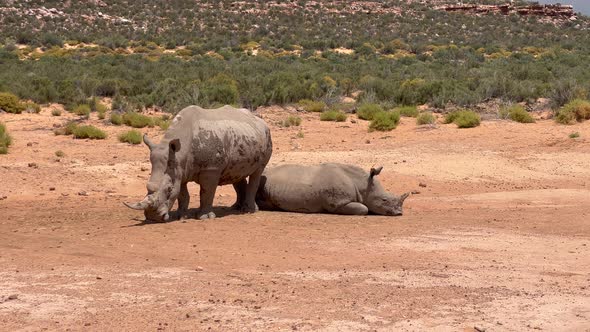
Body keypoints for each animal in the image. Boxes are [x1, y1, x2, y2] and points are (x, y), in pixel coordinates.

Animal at [126, 105, 274, 222]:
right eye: (146, 187)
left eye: (168, 189)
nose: (153, 218)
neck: (180, 154)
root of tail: (261, 121)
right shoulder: (180, 170)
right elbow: (182, 194)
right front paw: (181, 216)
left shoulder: (211, 169)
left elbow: (206, 192)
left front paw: (204, 217)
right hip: (243, 137)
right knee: (236, 172)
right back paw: (236, 208)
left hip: (266, 136)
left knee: (257, 172)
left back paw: (248, 210)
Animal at [256, 163, 410, 215]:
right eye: (384, 200)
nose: (399, 213)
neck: (362, 184)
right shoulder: (339, 203)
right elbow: (363, 209)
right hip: (264, 179)